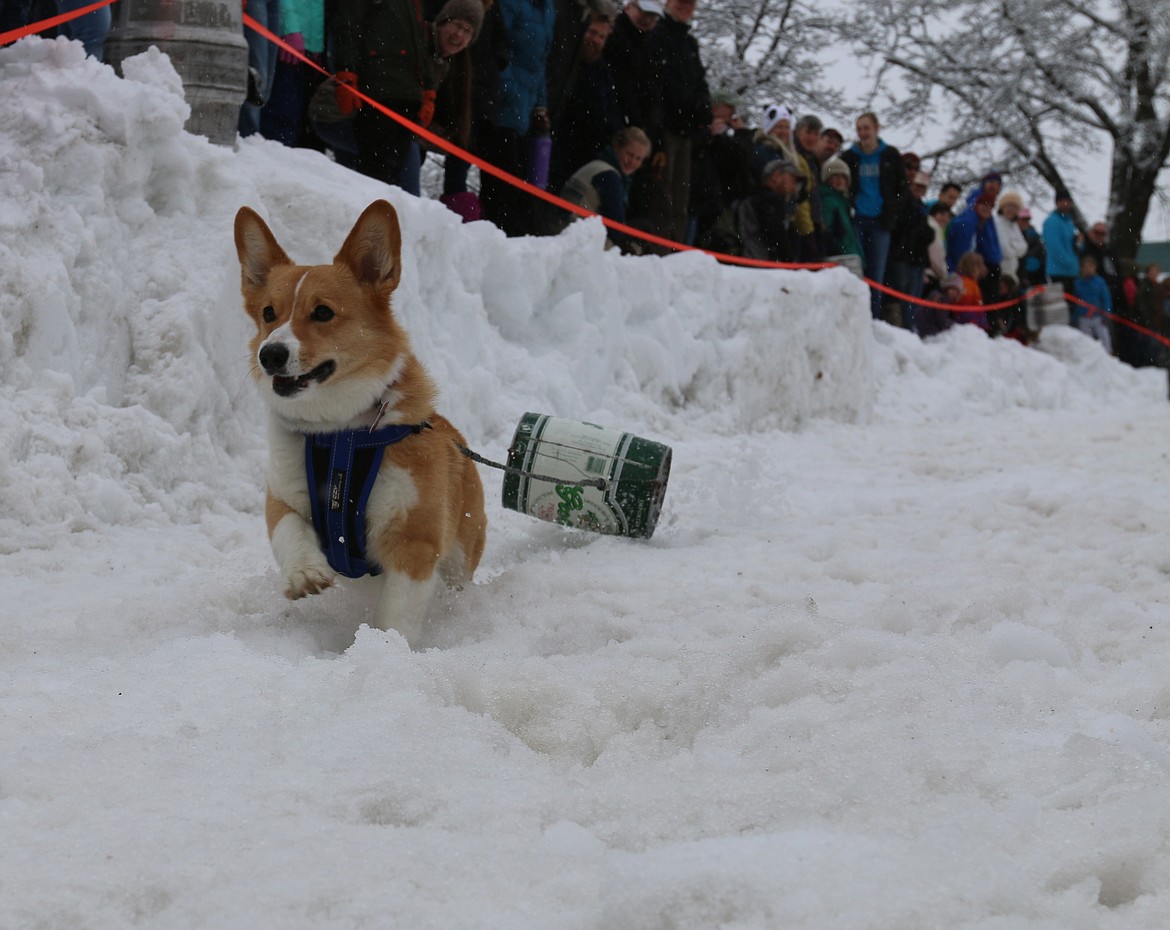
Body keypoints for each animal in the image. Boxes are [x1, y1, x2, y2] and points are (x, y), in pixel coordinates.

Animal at [235, 200, 486, 645]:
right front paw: (305, 573)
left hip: (462, 551)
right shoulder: (283, 497)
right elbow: (289, 530)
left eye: (323, 312)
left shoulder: (414, 540)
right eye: (268, 313)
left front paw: (385, 649)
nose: (270, 354)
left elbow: (395, 615)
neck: (339, 434)